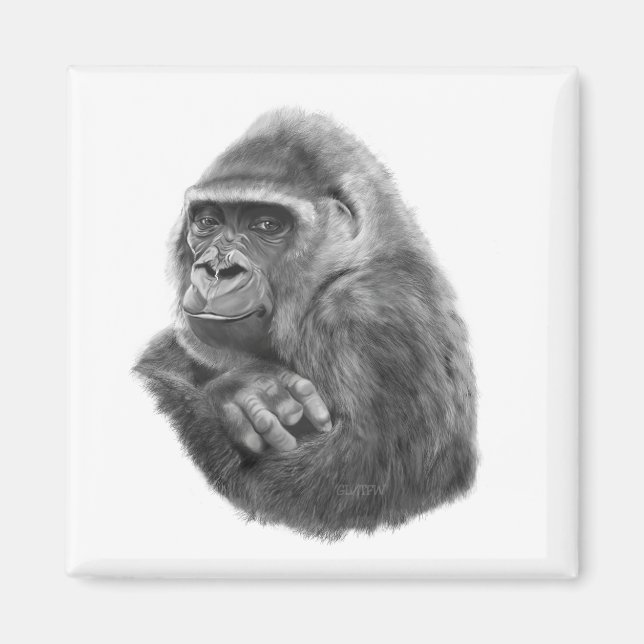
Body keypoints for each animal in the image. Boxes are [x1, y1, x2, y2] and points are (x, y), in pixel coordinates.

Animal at [133, 108, 478, 540]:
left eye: (267, 225)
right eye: (207, 221)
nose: (216, 270)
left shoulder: (370, 312)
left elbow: (342, 488)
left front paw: (232, 394)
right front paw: (245, 386)